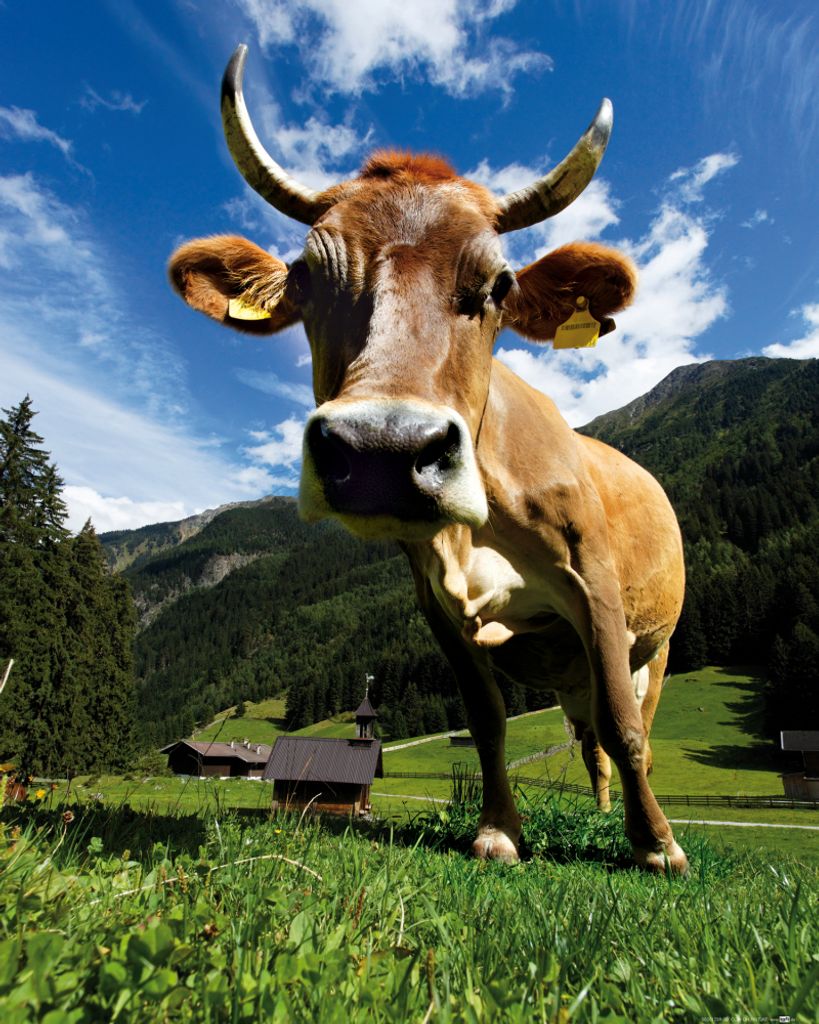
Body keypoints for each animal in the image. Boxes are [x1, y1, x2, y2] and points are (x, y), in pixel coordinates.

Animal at [169, 45, 688, 873]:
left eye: (497, 284)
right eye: (306, 278)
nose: (383, 446)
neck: (478, 529)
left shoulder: (596, 585)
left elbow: (626, 727)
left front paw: (657, 848)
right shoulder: (438, 610)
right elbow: (488, 722)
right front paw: (499, 831)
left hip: (658, 644)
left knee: (623, 722)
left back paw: (639, 827)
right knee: (586, 743)